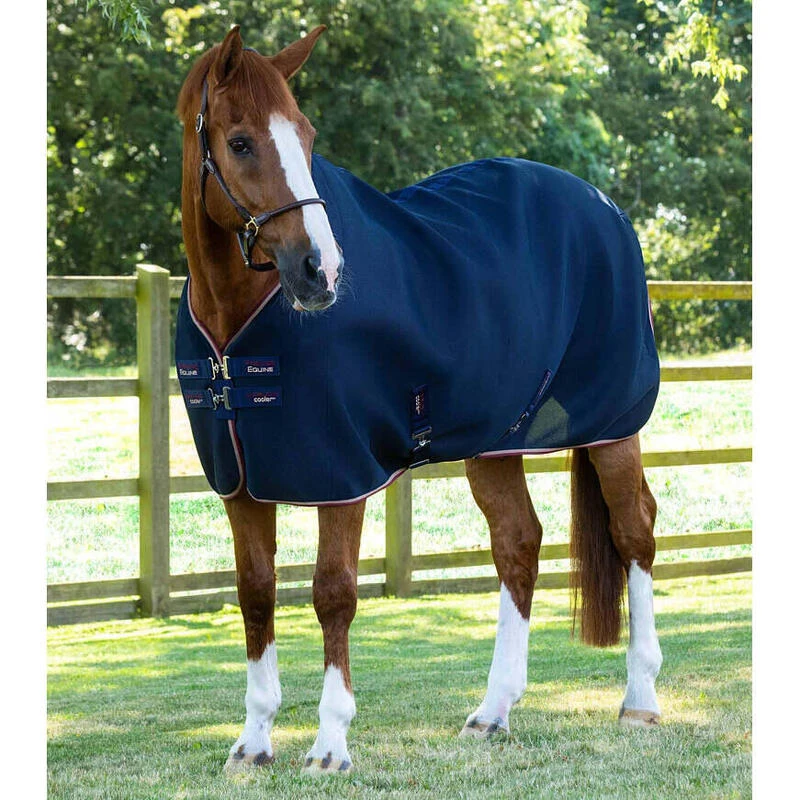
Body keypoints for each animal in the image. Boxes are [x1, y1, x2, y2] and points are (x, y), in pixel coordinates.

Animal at [175, 25, 663, 775]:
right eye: (240, 142)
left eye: (307, 135)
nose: (321, 271)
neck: (238, 321)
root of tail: (603, 206)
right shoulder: (240, 483)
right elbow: (255, 594)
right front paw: (252, 743)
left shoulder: (341, 473)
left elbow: (333, 593)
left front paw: (330, 744)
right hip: (497, 441)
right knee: (518, 543)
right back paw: (492, 713)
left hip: (613, 425)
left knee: (635, 529)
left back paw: (639, 700)